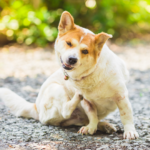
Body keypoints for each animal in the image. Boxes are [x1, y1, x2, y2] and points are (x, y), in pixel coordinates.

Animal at [0, 10, 139, 139]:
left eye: (85, 51)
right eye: (69, 43)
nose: (72, 59)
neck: (91, 74)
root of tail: (36, 107)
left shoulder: (121, 97)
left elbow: (126, 115)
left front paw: (129, 131)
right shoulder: (87, 102)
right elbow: (92, 115)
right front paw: (91, 127)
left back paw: (104, 125)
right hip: (56, 88)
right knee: (65, 111)